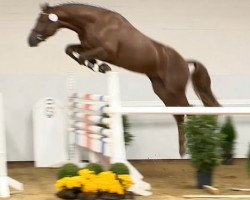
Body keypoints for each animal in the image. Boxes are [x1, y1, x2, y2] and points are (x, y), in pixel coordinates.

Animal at [26, 2, 219, 156]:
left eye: (41, 21)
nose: (31, 41)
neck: (94, 23)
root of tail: (184, 61)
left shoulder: (105, 51)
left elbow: (83, 56)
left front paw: (101, 67)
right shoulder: (86, 46)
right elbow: (70, 50)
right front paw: (98, 66)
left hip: (174, 90)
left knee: (189, 110)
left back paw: (192, 148)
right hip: (162, 91)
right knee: (179, 115)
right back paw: (182, 150)